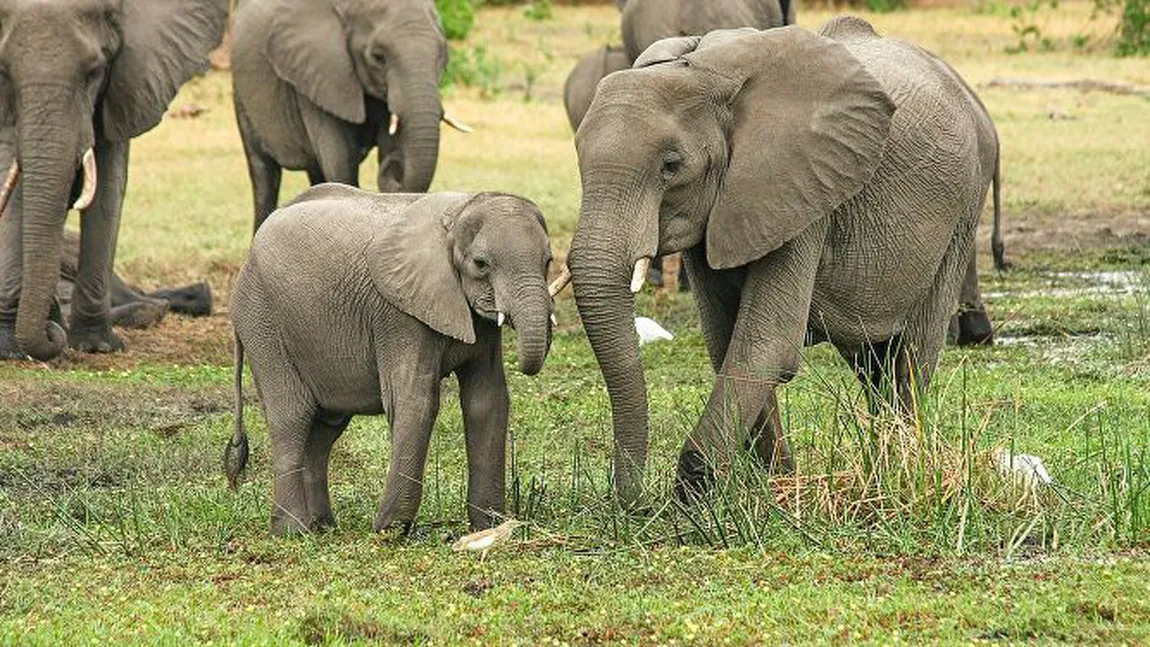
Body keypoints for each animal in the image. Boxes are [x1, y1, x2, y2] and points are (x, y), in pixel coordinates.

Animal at [0, 0, 231, 363]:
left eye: (94, 72)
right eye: (4, 71)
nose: (51, 336)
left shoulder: (124, 82)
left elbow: (109, 183)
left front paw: (95, 345)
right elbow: (9, 171)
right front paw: (11, 349)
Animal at [225, 183, 556, 537]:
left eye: (548, 261)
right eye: (481, 264)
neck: (458, 212)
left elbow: (487, 401)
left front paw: (489, 527)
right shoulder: (399, 314)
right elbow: (415, 400)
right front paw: (390, 530)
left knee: (325, 427)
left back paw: (323, 527)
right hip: (262, 320)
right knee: (292, 417)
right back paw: (292, 531)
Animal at [231, 0, 469, 232]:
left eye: (442, 57)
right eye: (378, 57)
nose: (394, 167)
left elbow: (389, 144)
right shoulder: (322, 75)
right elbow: (340, 163)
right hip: (242, 96)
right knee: (264, 175)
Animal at [554, 20, 998, 503]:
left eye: (671, 166)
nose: (632, 503)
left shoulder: (801, 190)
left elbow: (766, 343)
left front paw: (696, 494)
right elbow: (726, 340)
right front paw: (775, 484)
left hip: (963, 208)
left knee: (911, 352)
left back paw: (901, 467)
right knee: (871, 360)